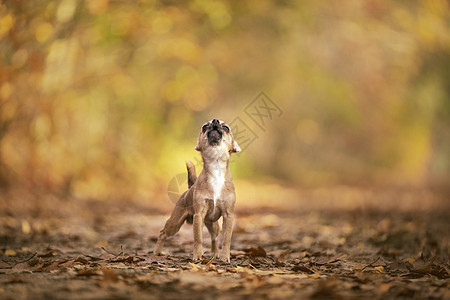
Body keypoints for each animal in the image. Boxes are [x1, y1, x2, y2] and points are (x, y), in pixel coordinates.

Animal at [154, 118, 239, 262]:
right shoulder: (198, 215)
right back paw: (157, 252)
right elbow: (198, 238)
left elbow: (226, 239)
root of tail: (190, 188)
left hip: (213, 225)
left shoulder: (228, 216)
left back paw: (215, 254)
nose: (215, 121)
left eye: (226, 127)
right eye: (205, 126)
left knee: (214, 238)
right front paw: (198, 256)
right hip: (175, 224)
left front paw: (224, 257)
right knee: (162, 233)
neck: (216, 169)